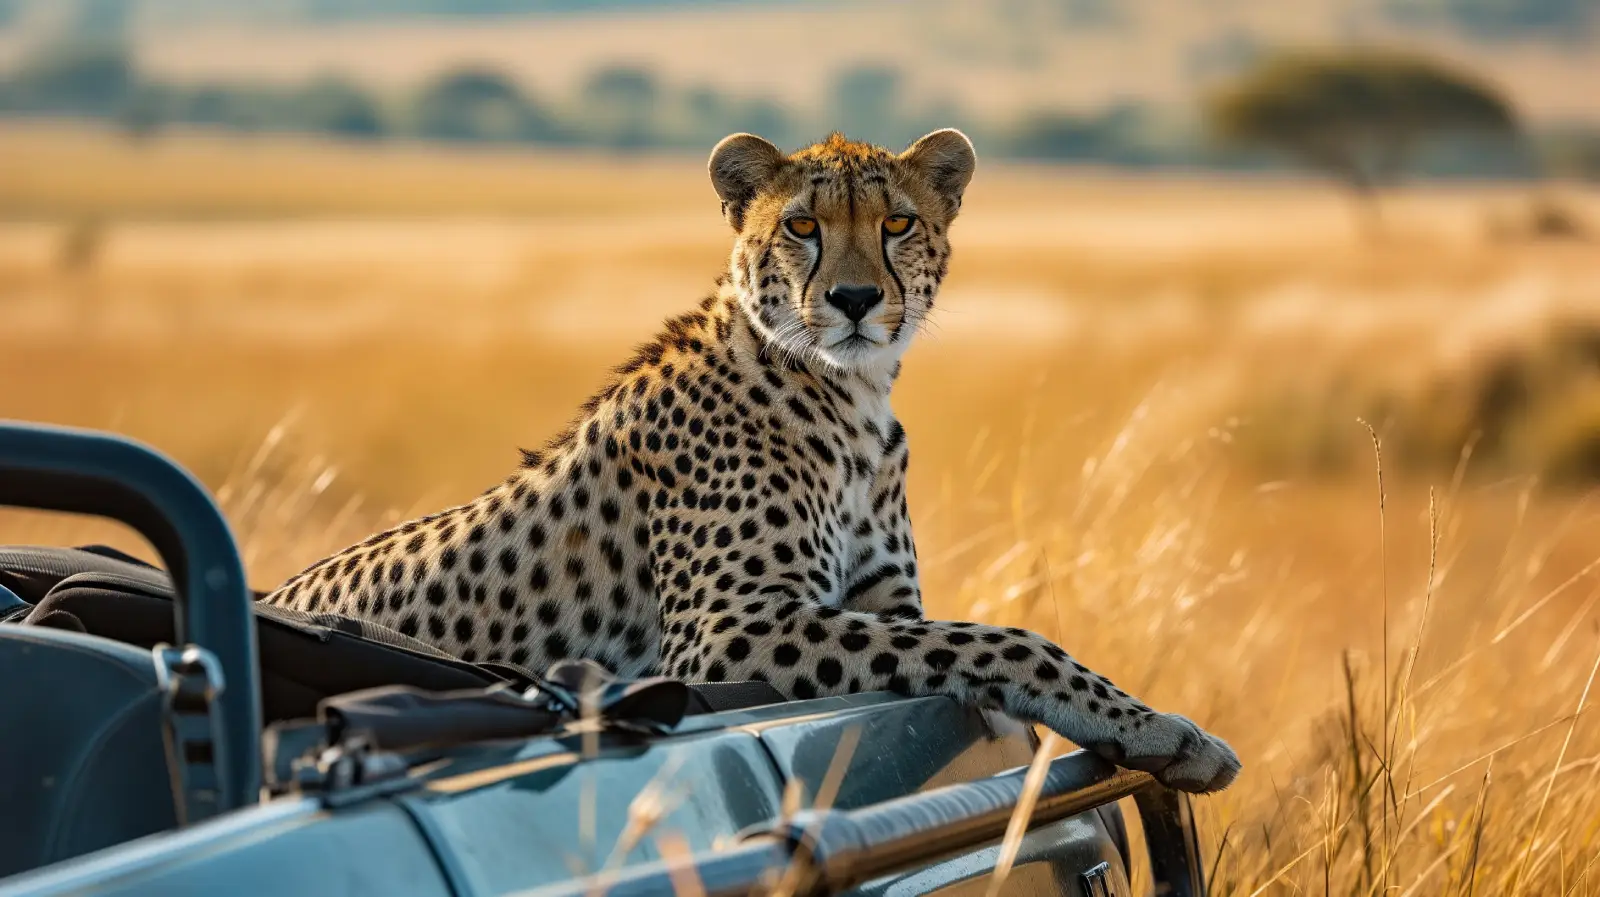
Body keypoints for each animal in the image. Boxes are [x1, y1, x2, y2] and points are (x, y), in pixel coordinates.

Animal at [262, 129, 1242, 793]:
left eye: (897, 221)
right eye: (802, 225)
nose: (854, 298)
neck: (850, 396)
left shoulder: (880, 604)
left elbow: (958, 641)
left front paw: (1141, 724)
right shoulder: (728, 630)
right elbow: (1004, 635)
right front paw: (1160, 728)